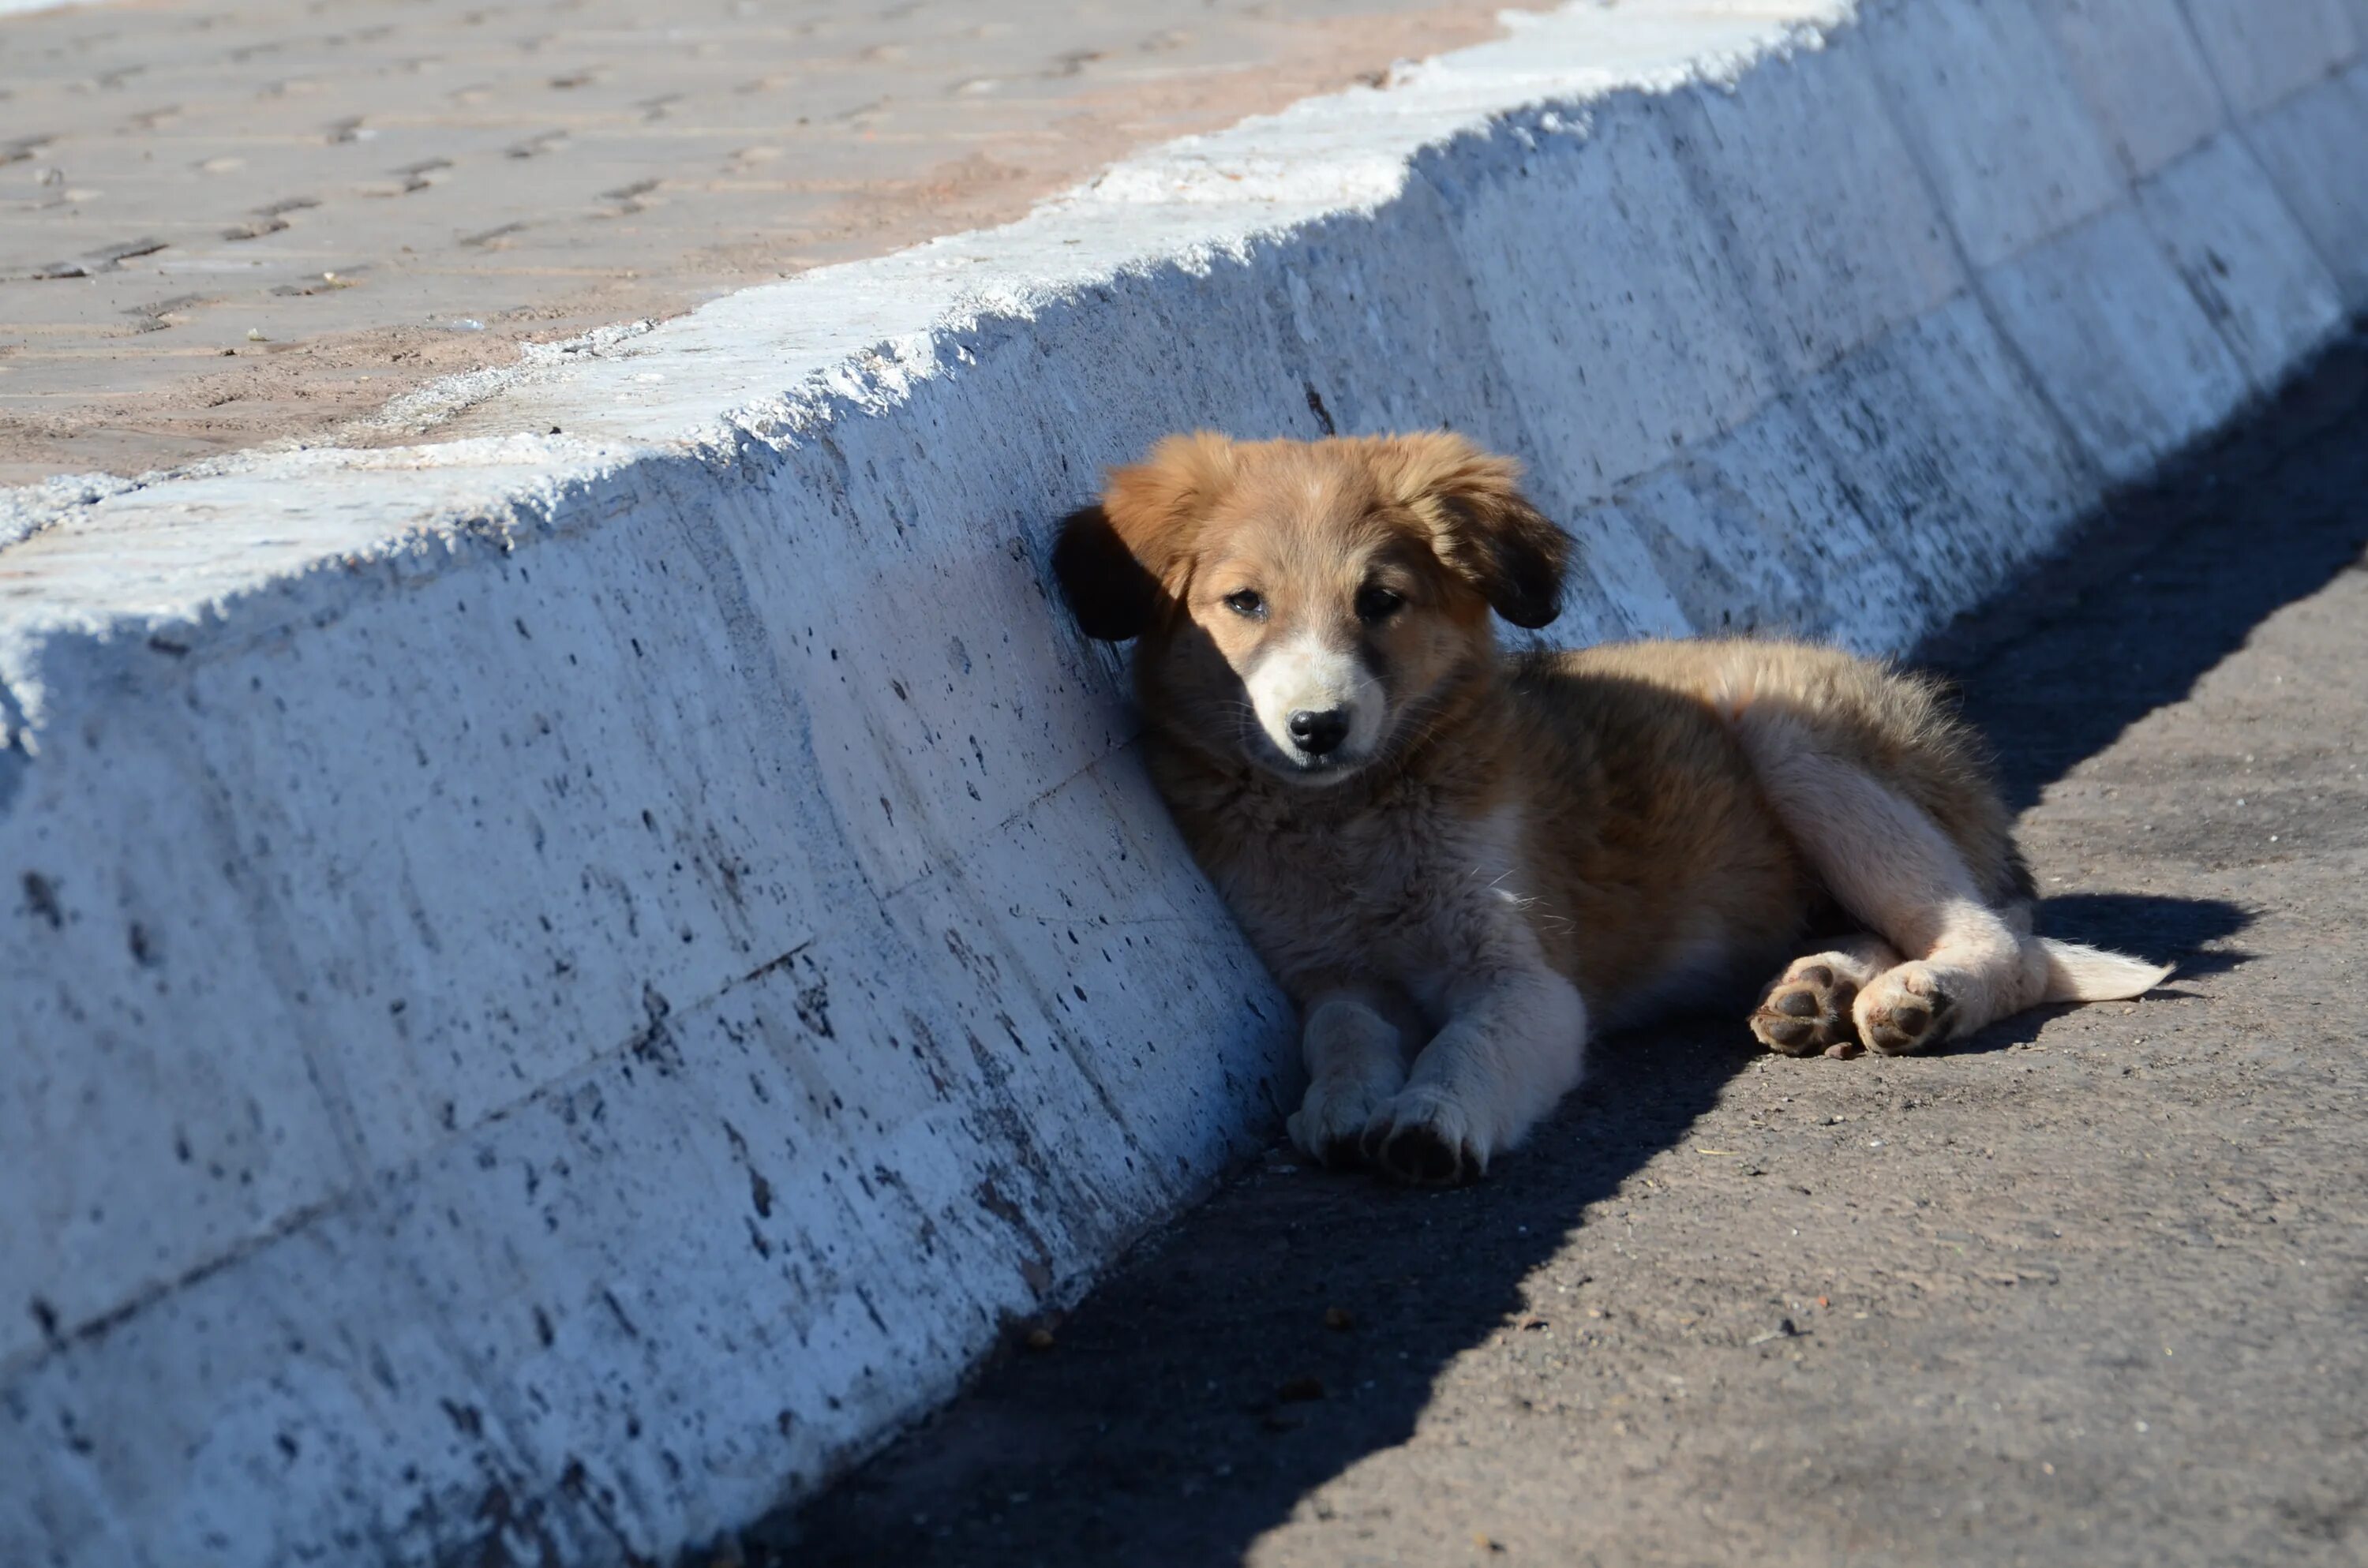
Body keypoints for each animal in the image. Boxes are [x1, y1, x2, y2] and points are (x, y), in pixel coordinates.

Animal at [1056, 436, 2169, 1184]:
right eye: (1244, 604)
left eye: (1381, 601)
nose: (1317, 728)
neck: (1355, 819)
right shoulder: (1327, 969)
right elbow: (1340, 1032)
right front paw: (1342, 1103)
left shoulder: (1526, 976)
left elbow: (1469, 1045)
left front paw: (1427, 1119)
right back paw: (1815, 989)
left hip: (1793, 735)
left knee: (2000, 941)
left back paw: (1919, 997)